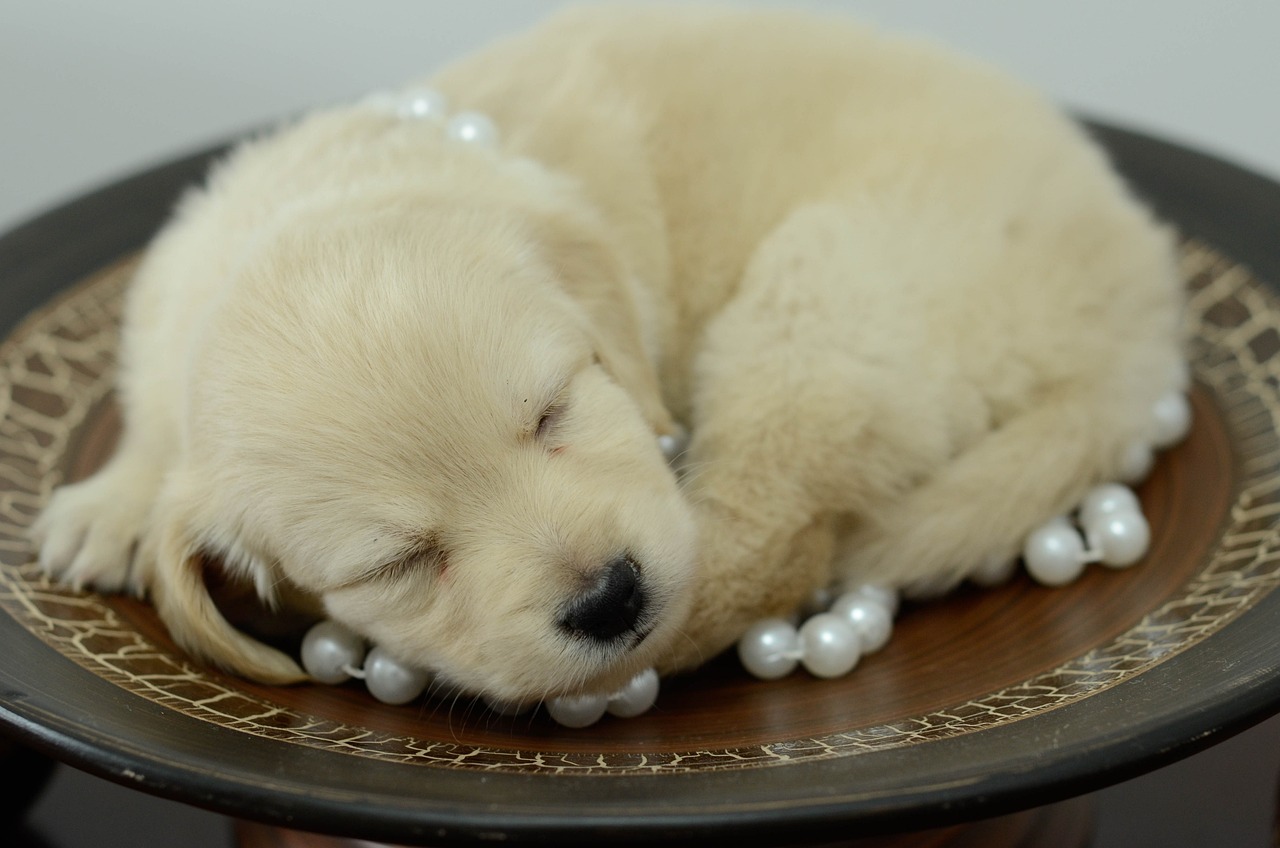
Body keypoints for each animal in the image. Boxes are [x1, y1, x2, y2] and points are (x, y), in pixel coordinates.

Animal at [27, 6, 1177, 707]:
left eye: (553, 412)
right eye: (399, 561)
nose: (608, 600)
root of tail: (1139, 315)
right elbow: (157, 421)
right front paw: (117, 500)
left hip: (832, 290)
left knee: (765, 543)